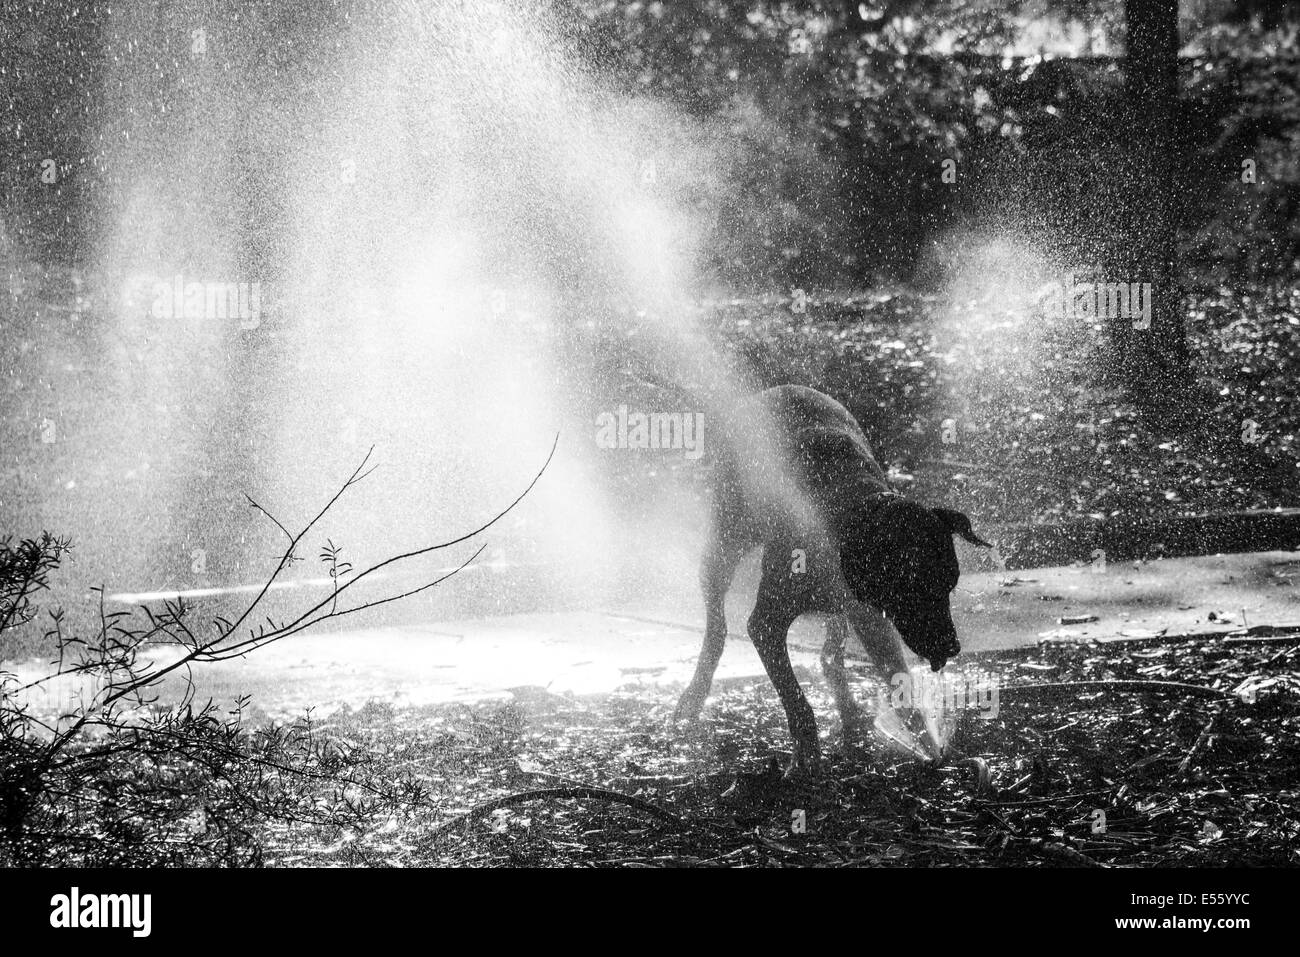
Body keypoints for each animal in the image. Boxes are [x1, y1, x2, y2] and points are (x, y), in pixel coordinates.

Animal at [676, 384, 987, 774]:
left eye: (950, 585)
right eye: (913, 589)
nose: (952, 647)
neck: (847, 511)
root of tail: (772, 390)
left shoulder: (870, 616)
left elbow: (897, 679)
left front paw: (927, 742)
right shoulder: (766, 623)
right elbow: (795, 698)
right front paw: (807, 754)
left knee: (834, 640)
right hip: (725, 545)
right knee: (716, 624)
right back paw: (696, 689)